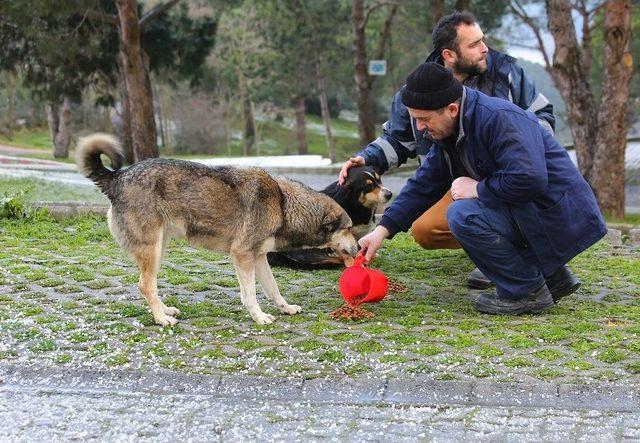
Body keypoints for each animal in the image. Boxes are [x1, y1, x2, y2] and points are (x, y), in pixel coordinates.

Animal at [77, 133, 358, 326]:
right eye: (349, 228)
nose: (358, 249)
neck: (283, 203)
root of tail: (118, 177)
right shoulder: (242, 255)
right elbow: (250, 294)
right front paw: (259, 317)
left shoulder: (259, 257)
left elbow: (273, 289)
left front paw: (285, 308)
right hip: (152, 251)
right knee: (145, 286)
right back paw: (161, 319)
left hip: (159, 248)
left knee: (150, 286)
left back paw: (165, 310)